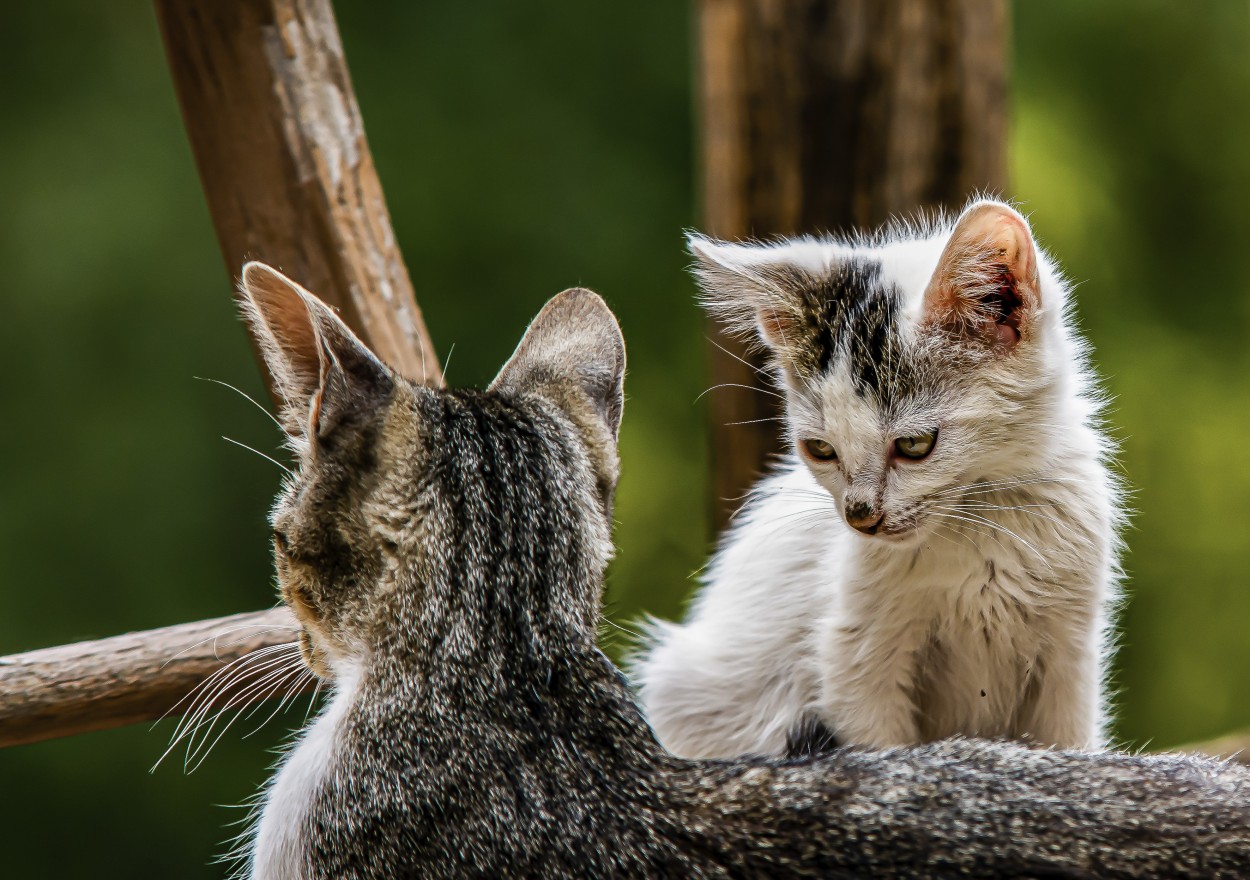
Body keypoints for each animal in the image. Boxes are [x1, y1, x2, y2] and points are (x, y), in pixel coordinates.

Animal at [635, 200, 1125, 755]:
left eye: (914, 446)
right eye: (821, 450)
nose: (860, 516)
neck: (978, 525)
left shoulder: (1070, 652)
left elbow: (1068, 743)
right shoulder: (857, 655)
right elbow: (876, 743)